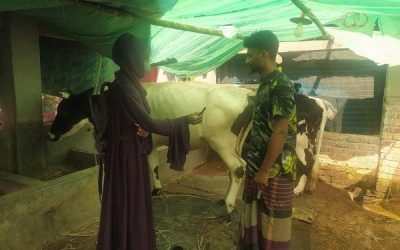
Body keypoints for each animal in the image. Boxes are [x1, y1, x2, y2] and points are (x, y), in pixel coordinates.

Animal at [50, 81, 338, 213]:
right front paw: (156, 190)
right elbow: (152, 165)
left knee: (241, 168)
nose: (50, 133)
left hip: (225, 141)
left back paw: (230, 206)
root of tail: (247, 94)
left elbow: (147, 167)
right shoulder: (152, 141)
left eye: (64, 110)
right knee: (238, 169)